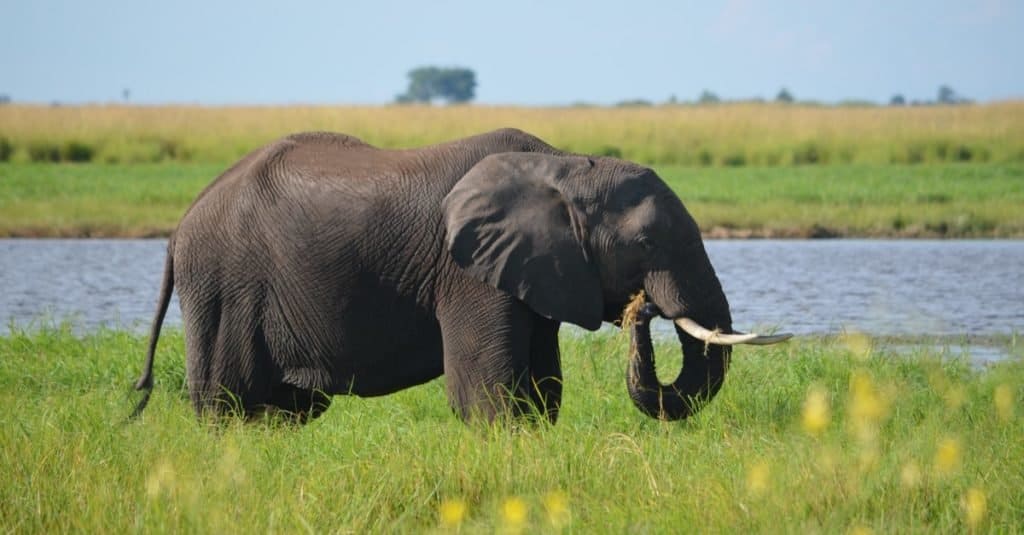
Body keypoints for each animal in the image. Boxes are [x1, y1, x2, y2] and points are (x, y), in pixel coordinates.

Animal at [131, 128, 790, 424]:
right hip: (225, 286)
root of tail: (180, 226)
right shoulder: (467, 272)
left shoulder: (532, 272)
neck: (564, 166)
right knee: (229, 403)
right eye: (647, 243)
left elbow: (542, 389)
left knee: (283, 410)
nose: (642, 308)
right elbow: (487, 392)